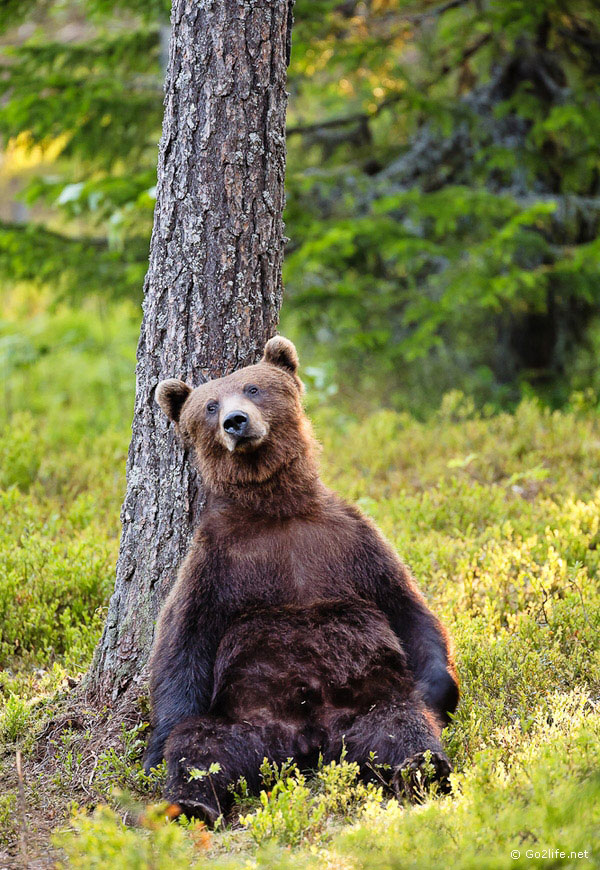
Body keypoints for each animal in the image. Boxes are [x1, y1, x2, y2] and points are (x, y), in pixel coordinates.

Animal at [145, 338, 460, 824]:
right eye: (210, 406)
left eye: (253, 388)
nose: (235, 422)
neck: (276, 509)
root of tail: (309, 743)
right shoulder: (217, 562)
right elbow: (182, 641)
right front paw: (154, 748)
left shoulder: (349, 541)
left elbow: (407, 607)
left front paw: (439, 689)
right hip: (245, 720)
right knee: (203, 745)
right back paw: (192, 802)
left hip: (366, 707)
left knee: (399, 724)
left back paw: (422, 768)